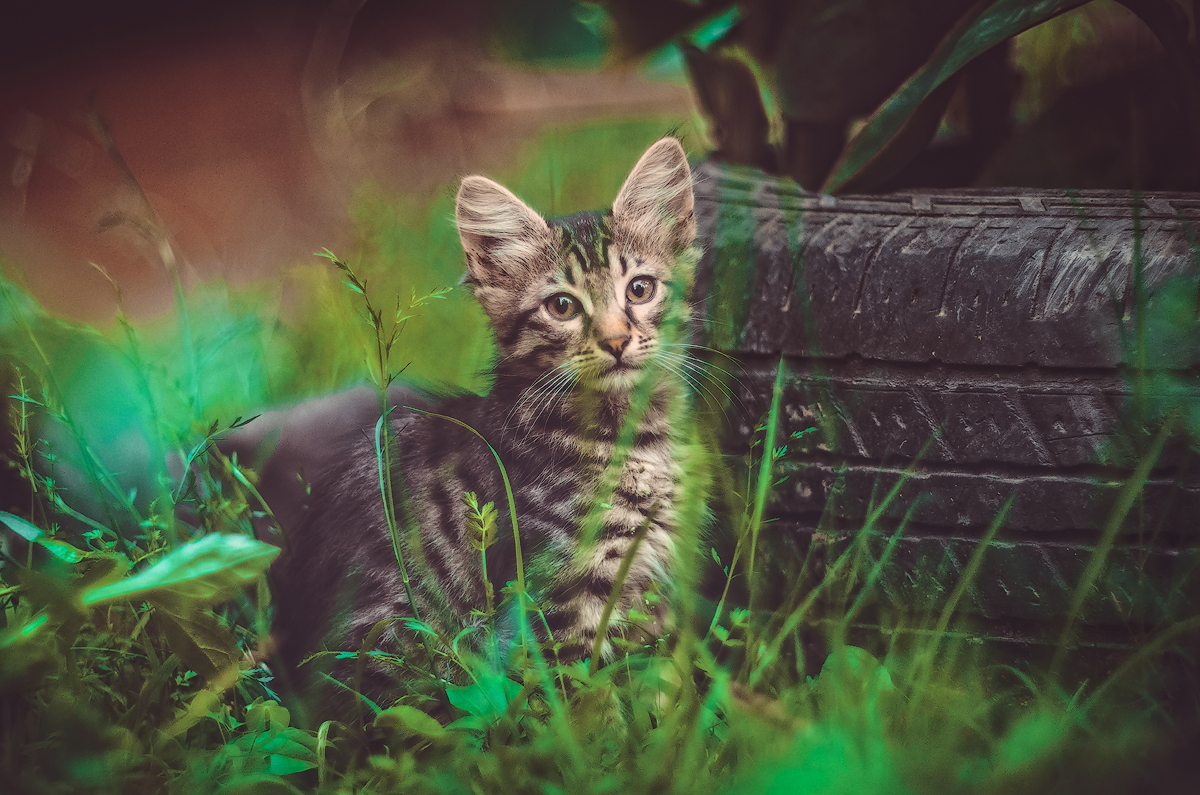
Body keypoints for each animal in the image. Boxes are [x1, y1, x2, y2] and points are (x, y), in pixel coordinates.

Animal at [255, 139, 700, 701]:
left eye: (640, 289)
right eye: (562, 306)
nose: (617, 341)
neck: (629, 437)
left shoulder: (650, 587)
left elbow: (656, 683)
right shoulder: (561, 599)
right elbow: (586, 698)